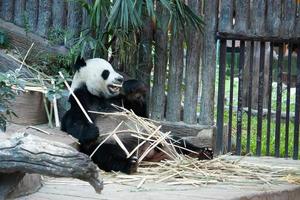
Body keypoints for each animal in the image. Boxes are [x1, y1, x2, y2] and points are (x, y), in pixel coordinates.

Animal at [61, 57, 212, 174]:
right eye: (106, 72)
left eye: (114, 69)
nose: (120, 78)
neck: (99, 95)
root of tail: (146, 152)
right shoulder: (81, 99)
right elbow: (73, 123)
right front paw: (92, 131)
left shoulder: (121, 102)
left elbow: (142, 115)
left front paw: (133, 88)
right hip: (112, 143)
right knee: (107, 154)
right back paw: (130, 164)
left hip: (156, 135)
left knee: (178, 142)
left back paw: (203, 152)